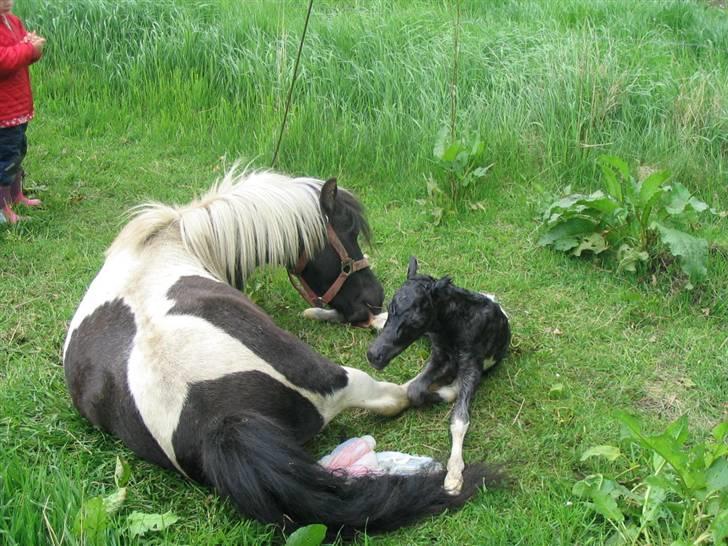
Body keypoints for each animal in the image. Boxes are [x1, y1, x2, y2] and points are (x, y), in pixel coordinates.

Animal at [62, 171, 494, 536]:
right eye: (348, 230)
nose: (373, 300)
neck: (172, 241)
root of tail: (220, 420)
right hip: (339, 377)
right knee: (397, 396)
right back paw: (447, 392)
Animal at [366, 255, 510, 492]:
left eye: (416, 321)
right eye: (390, 305)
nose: (373, 355)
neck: (453, 326)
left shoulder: (472, 366)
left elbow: (459, 418)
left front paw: (454, 475)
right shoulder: (439, 355)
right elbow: (415, 390)